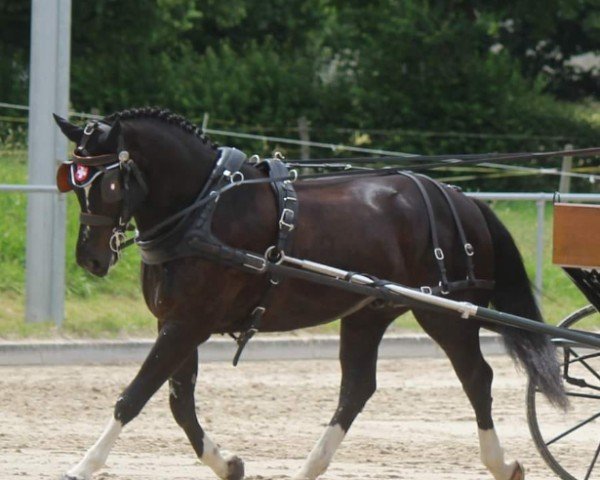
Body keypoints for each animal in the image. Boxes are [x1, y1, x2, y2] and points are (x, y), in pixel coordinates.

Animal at [54, 109, 564, 480]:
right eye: (72, 182)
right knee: (357, 388)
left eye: (109, 182)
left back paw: (501, 463)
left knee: (476, 378)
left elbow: (135, 396)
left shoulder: (189, 324)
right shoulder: (175, 321)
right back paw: (308, 468)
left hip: (444, 312)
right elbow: (180, 404)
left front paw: (82, 466)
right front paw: (229, 464)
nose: (90, 259)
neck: (204, 207)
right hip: (369, 311)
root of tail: (460, 197)